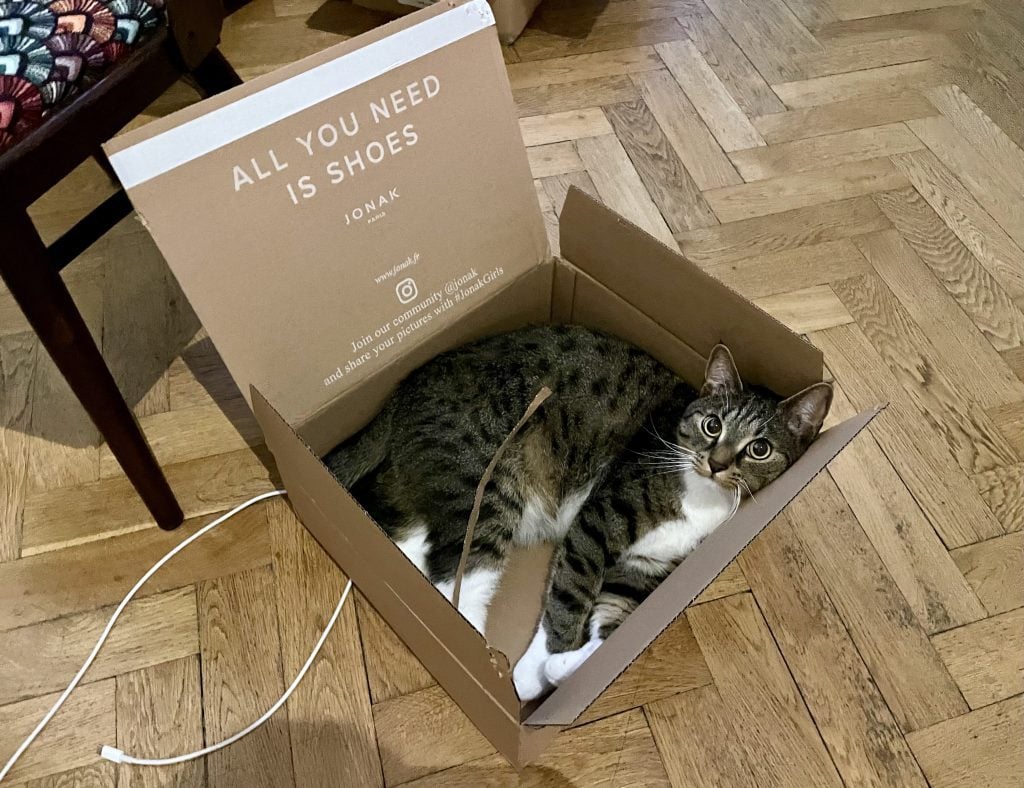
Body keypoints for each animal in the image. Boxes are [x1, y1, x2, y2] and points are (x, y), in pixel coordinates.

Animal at [327, 325, 831, 699]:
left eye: (759, 449)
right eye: (713, 425)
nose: (718, 463)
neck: (703, 499)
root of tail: (404, 390)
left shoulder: (645, 568)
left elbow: (611, 622)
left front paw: (557, 669)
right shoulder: (600, 520)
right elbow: (569, 598)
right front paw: (534, 673)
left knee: (408, 543)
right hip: (485, 487)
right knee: (454, 581)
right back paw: (483, 655)